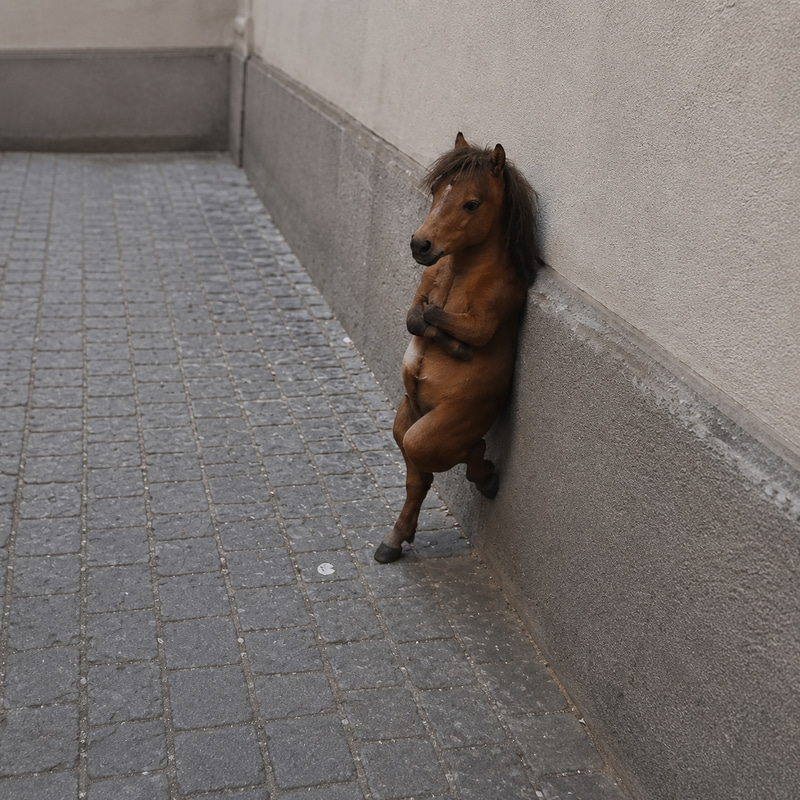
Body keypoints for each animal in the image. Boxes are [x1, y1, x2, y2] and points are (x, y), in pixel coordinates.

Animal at [375, 132, 541, 563]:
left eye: (471, 203)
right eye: (436, 190)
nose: (420, 245)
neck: (459, 271)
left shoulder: (488, 315)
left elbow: (433, 319)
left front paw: (459, 350)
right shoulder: (421, 291)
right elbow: (416, 317)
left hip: (437, 428)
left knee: (455, 449)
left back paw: (485, 478)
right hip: (407, 416)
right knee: (418, 473)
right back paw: (395, 539)